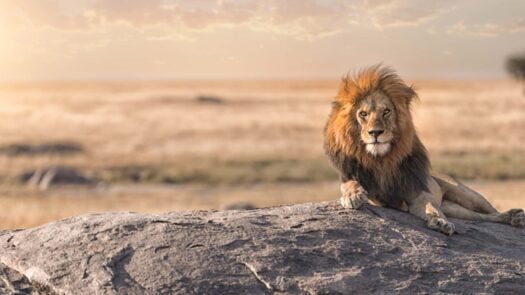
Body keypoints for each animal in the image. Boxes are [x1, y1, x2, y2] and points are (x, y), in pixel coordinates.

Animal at [324, 65, 524, 236]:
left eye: (386, 112)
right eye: (363, 114)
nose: (375, 133)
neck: (382, 159)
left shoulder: (417, 191)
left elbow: (431, 207)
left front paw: (440, 222)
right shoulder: (357, 180)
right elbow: (349, 184)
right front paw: (353, 196)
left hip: (467, 195)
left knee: (490, 212)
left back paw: (514, 216)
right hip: (455, 209)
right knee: (482, 217)